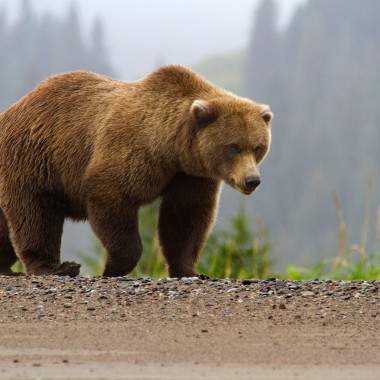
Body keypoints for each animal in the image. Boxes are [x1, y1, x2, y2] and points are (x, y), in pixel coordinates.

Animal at [0, 65, 274, 278]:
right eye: (233, 147)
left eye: (258, 147)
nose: (252, 180)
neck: (171, 148)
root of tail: (11, 110)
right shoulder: (132, 151)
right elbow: (111, 197)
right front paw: (112, 267)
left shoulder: (190, 175)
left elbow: (185, 218)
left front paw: (190, 270)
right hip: (33, 161)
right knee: (35, 214)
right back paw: (55, 267)